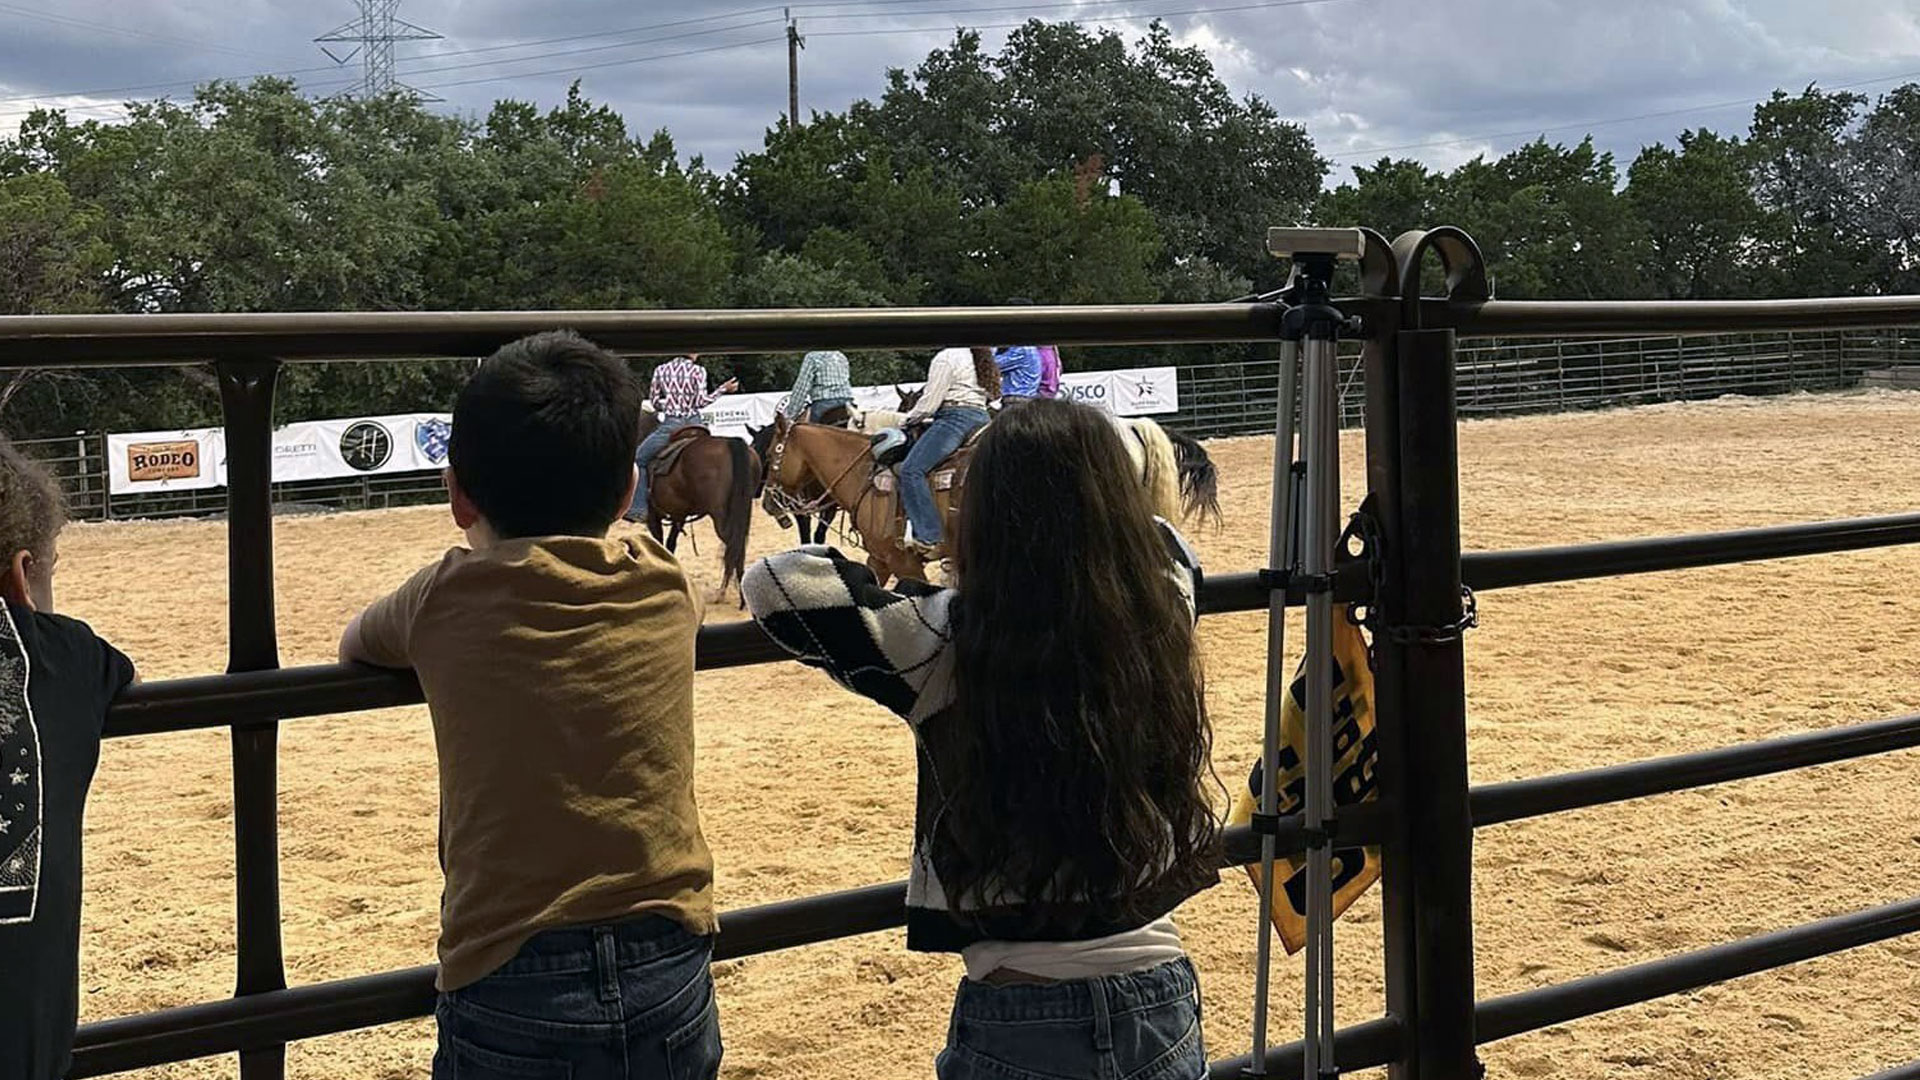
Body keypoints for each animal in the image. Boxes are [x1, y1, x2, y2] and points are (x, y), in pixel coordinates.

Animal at [625, 407, 752, 599]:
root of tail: (731, 442)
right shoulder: (679, 515)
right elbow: (670, 545)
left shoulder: (653, 516)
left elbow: (659, 544)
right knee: (738, 545)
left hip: (721, 516)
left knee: (733, 545)